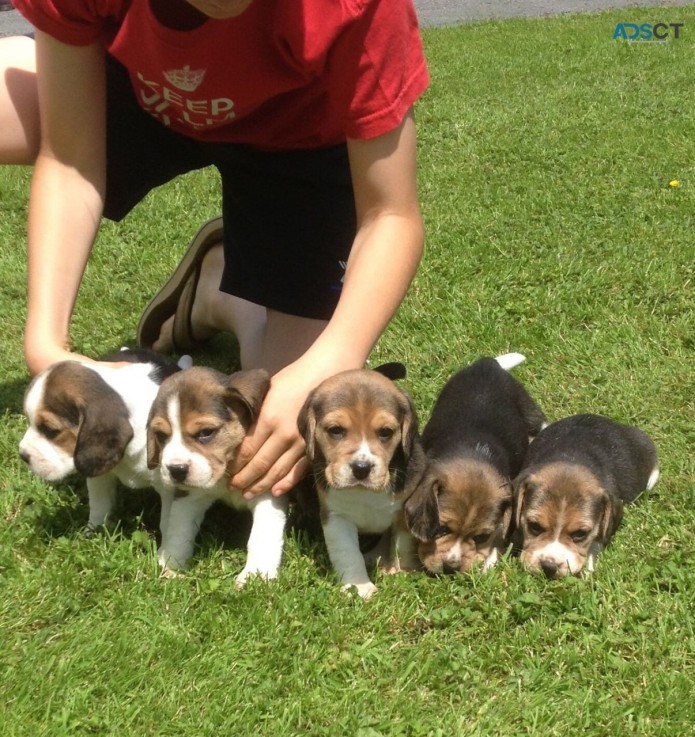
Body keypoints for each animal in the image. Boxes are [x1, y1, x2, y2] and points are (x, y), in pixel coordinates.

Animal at [19, 348, 185, 532]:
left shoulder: (171, 487)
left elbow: (169, 522)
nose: (23, 455)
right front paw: (93, 531)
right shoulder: (98, 474)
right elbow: (99, 505)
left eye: (51, 430)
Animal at [147, 366, 288, 584]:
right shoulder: (188, 497)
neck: (226, 472)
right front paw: (171, 564)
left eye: (206, 432)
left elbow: (261, 535)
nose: (176, 470)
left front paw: (256, 575)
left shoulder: (267, 492)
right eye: (161, 436)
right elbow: (178, 531)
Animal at [298, 368, 426, 600]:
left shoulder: (404, 509)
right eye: (335, 430)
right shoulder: (337, 517)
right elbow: (348, 553)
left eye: (385, 432)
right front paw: (359, 587)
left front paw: (400, 572)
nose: (361, 468)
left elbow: (401, 545)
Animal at [406, 352, 548, 576]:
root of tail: (487, 364)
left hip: (531, 413)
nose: (451, 567)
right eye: (441, 529)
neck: (474, 452)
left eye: (481, 537)